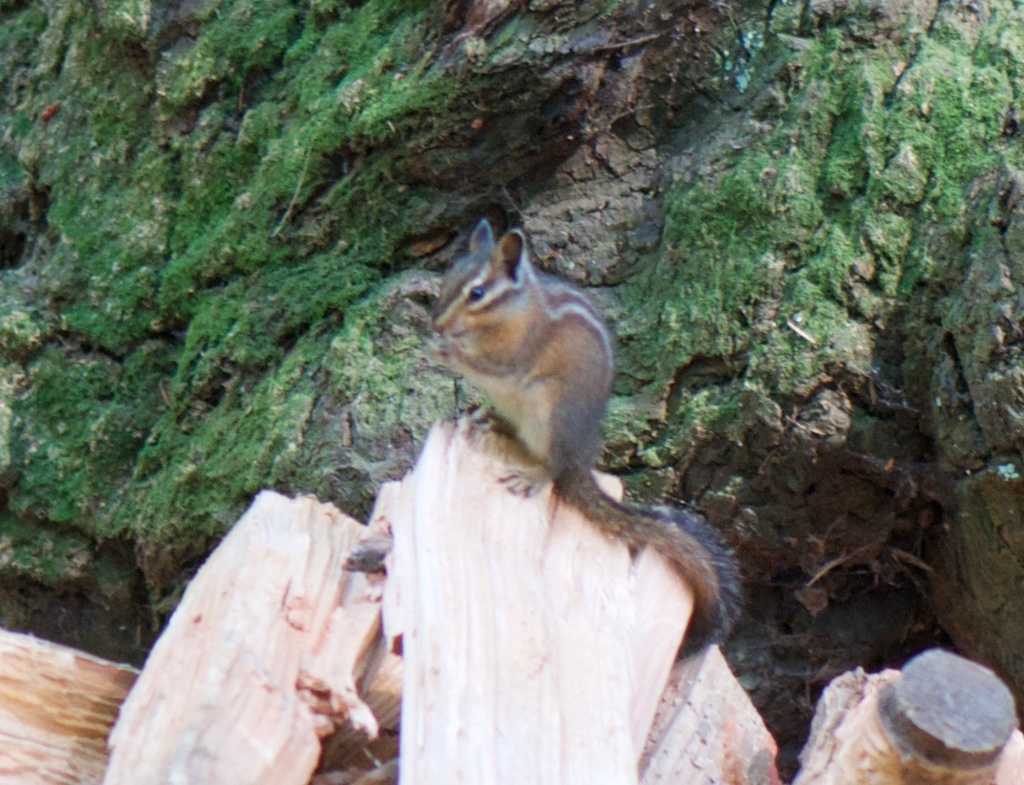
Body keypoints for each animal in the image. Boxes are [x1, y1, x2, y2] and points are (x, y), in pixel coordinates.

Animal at [430, 218, 741, 651]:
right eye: (448, 277)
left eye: (476, 293)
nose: (435, 324)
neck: (511, 313)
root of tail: (582, 459)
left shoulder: (516, 355)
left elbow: (492, 367)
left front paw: (444, 351)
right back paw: (487, 417)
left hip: (550, 415)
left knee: (555, 468)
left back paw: (532, 475)